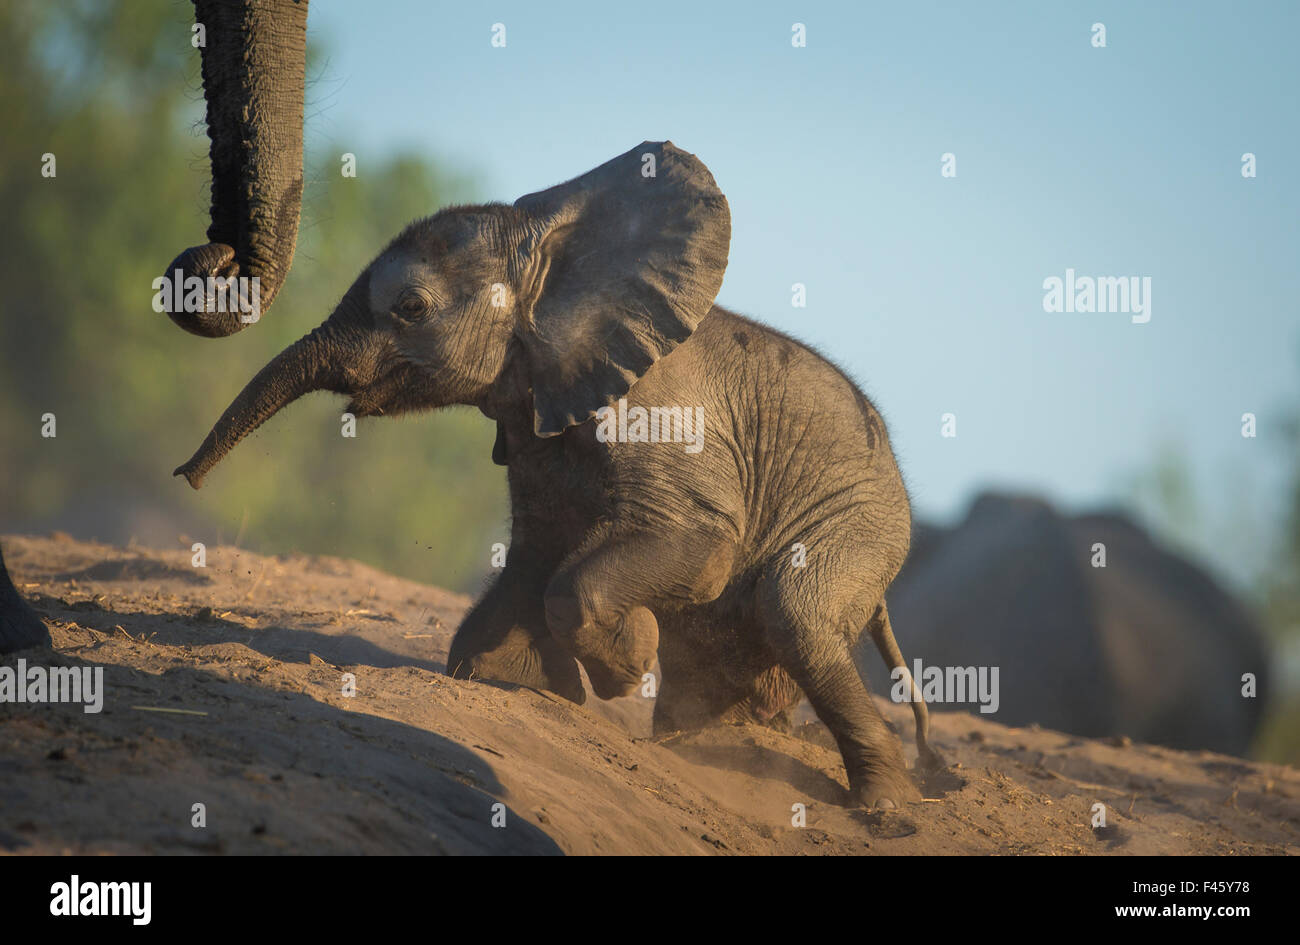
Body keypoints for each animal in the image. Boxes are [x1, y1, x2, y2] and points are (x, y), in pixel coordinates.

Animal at [178, 144, 941, 811]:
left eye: (412, 308)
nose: (186, 476)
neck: (553, 265)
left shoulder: (659, 417)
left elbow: (692, 548)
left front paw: (626, 665)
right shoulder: (534, 417)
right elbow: (536, 549)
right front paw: (514, 679)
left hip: (864, 523)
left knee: (794, 608)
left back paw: (883, 805)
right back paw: (710, 742)